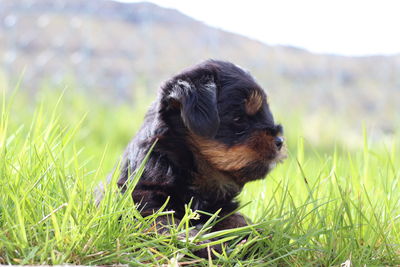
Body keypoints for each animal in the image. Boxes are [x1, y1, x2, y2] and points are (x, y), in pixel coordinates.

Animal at [112, 59, 282, 258]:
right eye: (239, 119)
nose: (279, 141)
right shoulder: (143, 202)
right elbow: (167, 225)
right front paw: (200, 244)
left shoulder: (222, 209)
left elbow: (237, 220)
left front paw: (260, 236)